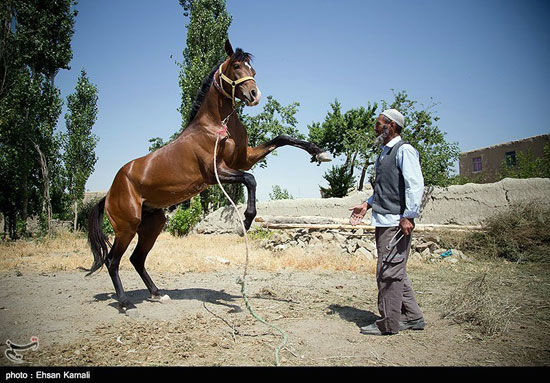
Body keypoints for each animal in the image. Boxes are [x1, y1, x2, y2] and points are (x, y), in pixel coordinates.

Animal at [87, 39, 332, 312]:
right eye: (236, 66)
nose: (254, 95)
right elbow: (250, 179)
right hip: (126, 227)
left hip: (152, 225)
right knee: (112, 261)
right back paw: (124, 302)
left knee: (136, 259)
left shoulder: (243, 159)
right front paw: (245, 223)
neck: (216, 127)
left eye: (253, 70)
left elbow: (281, 139)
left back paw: (157, 293)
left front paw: (319, 152)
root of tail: (109, 193)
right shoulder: (216, 174)